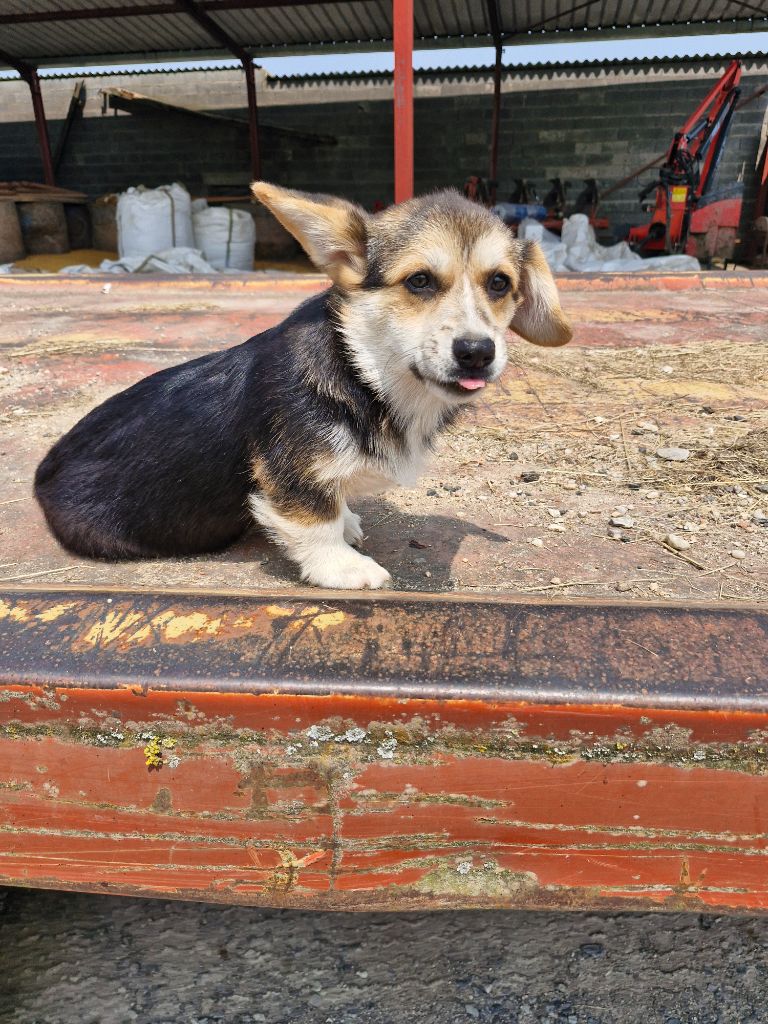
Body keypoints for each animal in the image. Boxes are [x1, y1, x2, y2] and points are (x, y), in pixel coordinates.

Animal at [34, 183, 572, 589]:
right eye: (419, 281)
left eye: (499, 283)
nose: (477, 352)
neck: (362, 371)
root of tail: (42, 476)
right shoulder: (290, 475)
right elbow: (316, 523)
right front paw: (345, 567)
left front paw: (349, 520)